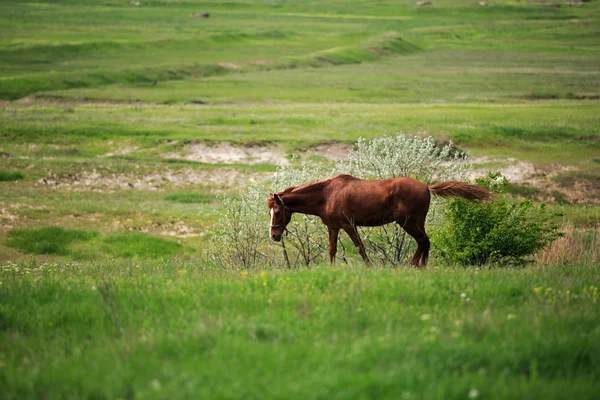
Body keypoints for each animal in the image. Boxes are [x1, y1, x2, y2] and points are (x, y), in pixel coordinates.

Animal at [268, 174, 492, 266]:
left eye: (277, 211)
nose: (274, 235)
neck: (327, 194)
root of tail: (427, 187)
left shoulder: (349, 225)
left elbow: (360, 248)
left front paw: (369, 267)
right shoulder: (334, 227)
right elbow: (332, 250)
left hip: (408, 223)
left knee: (423, 241)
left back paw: (414, 266)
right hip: (417, 222)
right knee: (425, 243)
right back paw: (421, 265)